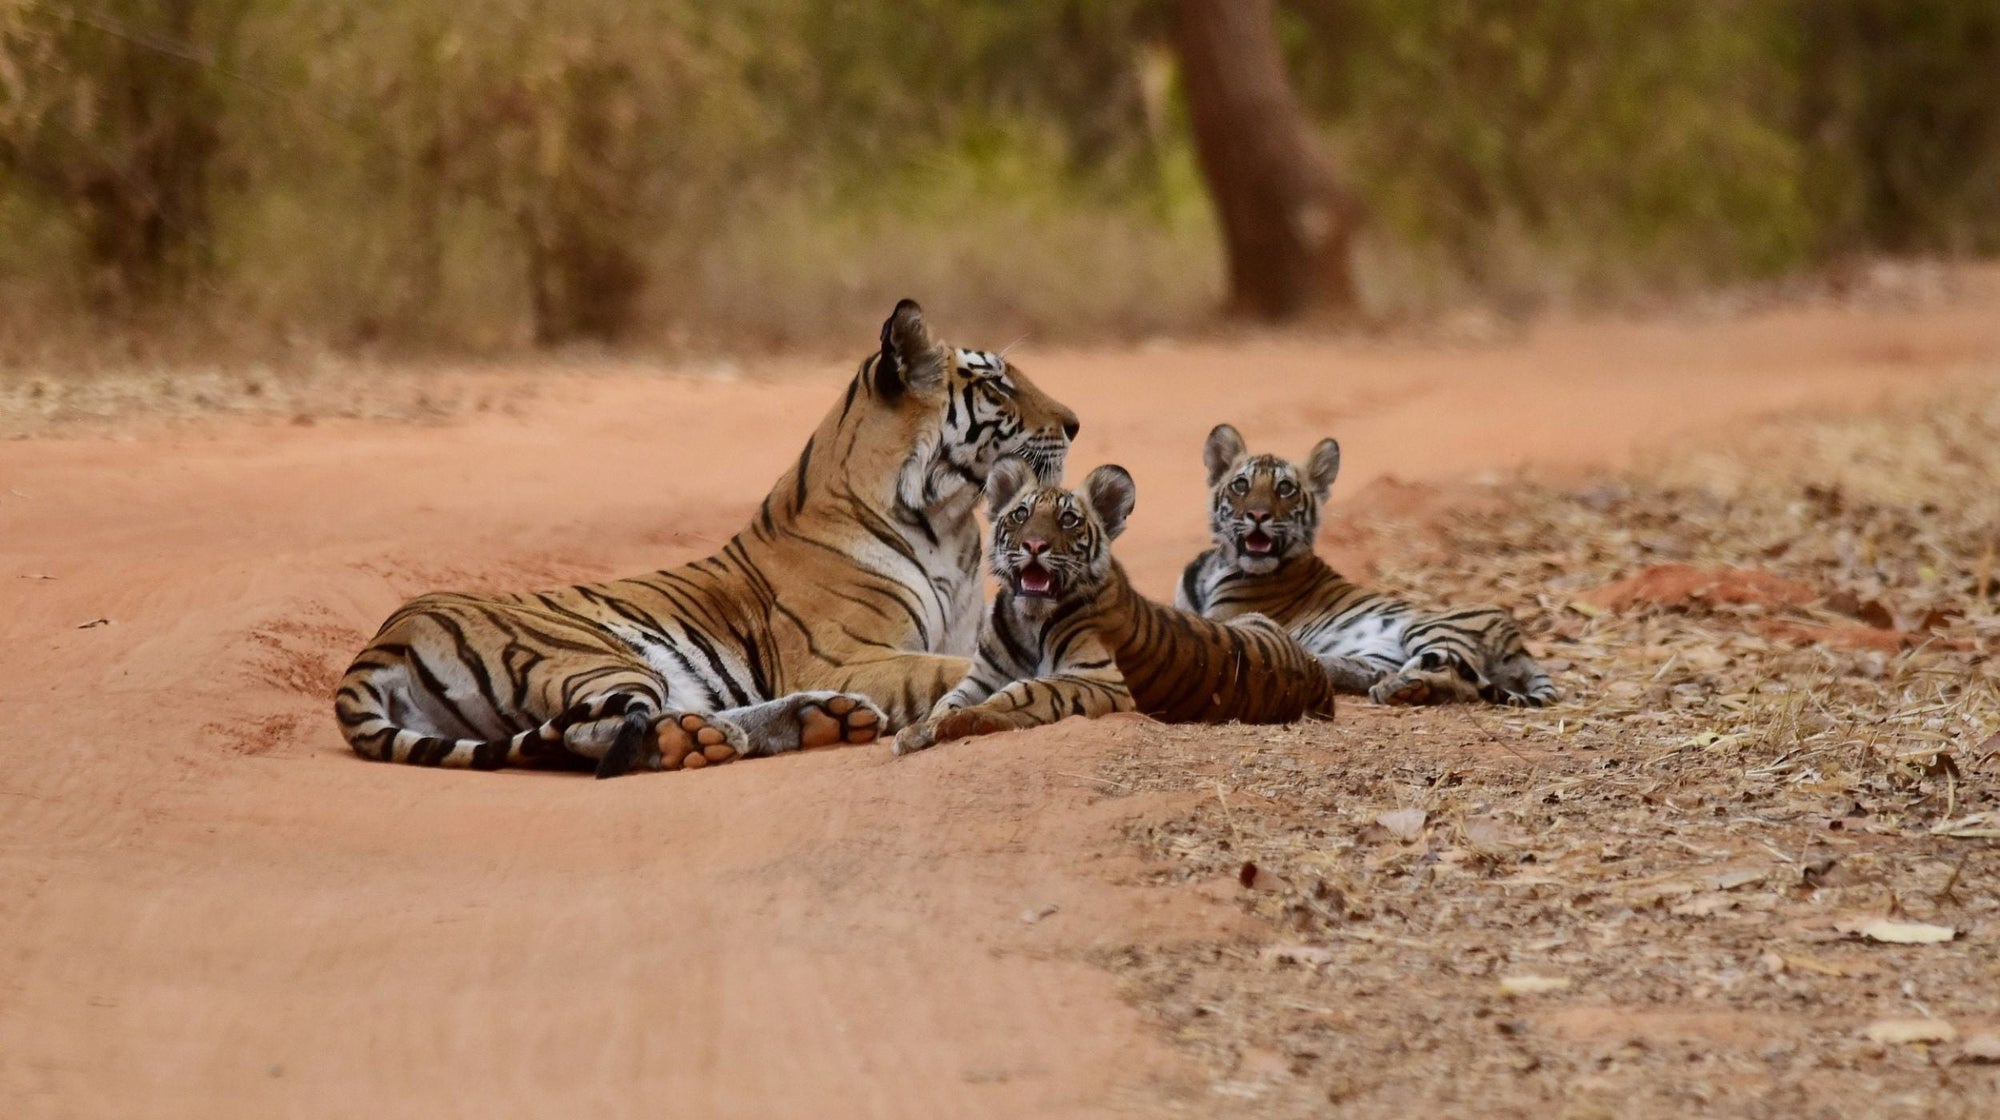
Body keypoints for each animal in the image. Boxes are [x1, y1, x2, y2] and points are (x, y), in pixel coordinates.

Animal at [333, 300, 1080, 777]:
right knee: (590, 734)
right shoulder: (848, 655)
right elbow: (950, 671)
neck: (950, 522)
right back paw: (708, 740)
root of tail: (380, 642)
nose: (1075, 423)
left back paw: (820, 722)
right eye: (997, 385)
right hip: (595, 655)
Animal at [893, 458, 1336, 754]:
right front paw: (919, 730)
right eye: (1020, 514)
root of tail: (1315, 670)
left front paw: (963, 722)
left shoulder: (1100, 677)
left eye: (1068, 520)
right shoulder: (982, 676)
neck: (1028, 619)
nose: (1034, 545)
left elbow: (1026, 690)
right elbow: (948, 700)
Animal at [1176, 424, 1557, 707]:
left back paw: (1398, 688)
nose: (1257, 515)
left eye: (1284, 489)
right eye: (1241, 485)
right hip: (1380, 653)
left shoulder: (1225, 618)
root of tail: (1518, 643)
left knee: (1453, 677)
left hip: (1429, 629)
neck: (1219, 563)